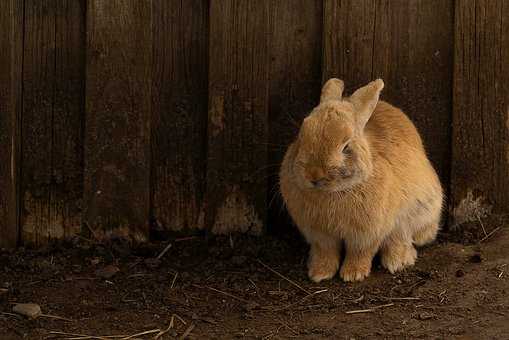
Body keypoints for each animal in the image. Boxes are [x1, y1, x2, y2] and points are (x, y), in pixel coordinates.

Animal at [278, 78, 440, 282]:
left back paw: (398, 262)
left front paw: (353, 274)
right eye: (301, 136)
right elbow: (326, 252)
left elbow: (361, 252)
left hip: (414, 213)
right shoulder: (320, 236)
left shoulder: (367, 234)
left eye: (346, 147)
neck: (335, 191)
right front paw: (319, 273)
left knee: (400, 238)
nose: (314, 175)